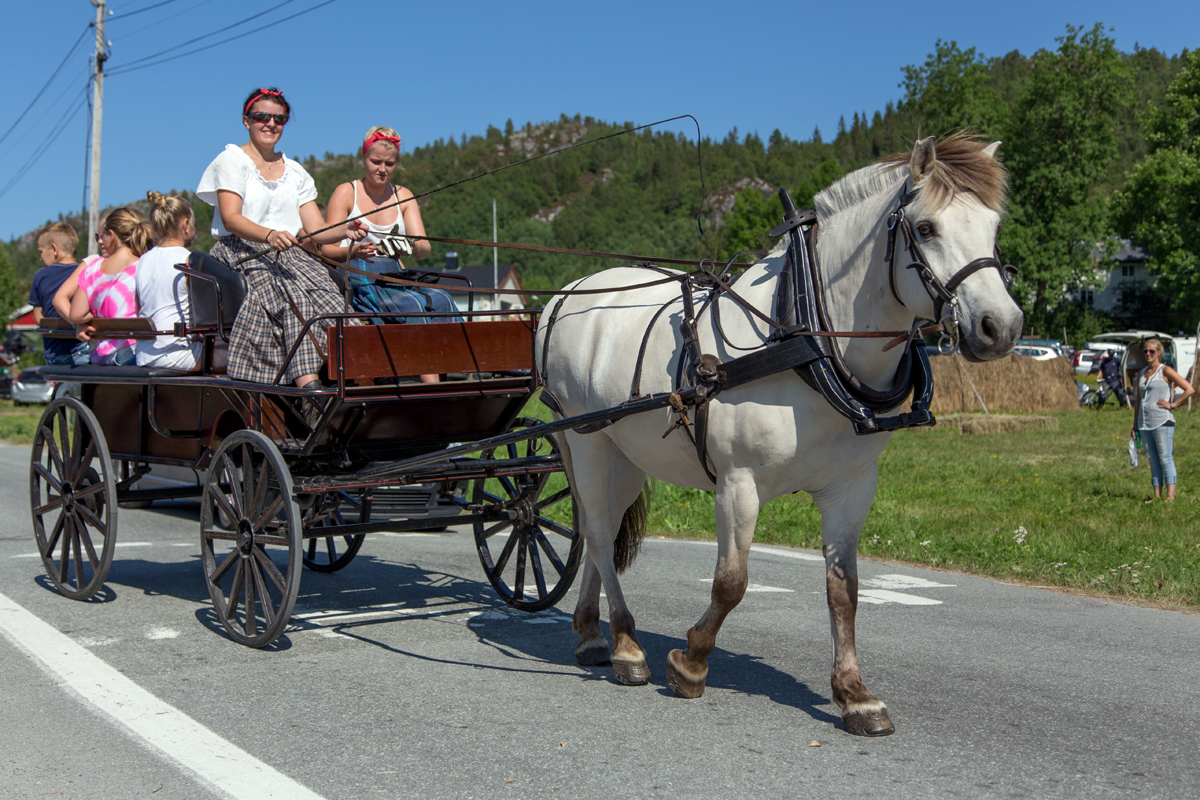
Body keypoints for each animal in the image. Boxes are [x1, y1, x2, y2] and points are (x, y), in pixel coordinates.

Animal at [540, 133, 1027, 738]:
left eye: (993, 225)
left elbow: (844, 590)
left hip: (626, 455)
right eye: (927, 227)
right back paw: (627, 646)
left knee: (596, 531)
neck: (807, 339)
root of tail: (564, 294)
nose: (1000, 327)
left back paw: (591, 633)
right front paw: (692, 661)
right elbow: (731, 582)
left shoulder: (851, 489)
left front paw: (855, 694)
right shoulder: (738, 483)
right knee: (602, 533)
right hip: (587, 439)